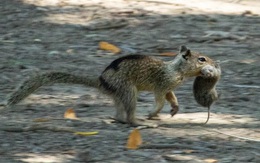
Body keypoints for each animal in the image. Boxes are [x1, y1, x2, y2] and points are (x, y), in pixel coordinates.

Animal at [5, 45, 219, 126]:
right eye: (201, 59)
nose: (216, 64)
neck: (176, 69)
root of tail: (101, 81)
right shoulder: (162, 84)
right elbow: (159, 100)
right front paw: (153, 113)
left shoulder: (169, 87)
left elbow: (171, 97)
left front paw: (174, 109)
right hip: (128, 91)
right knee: (130, 113)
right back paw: (138, 122)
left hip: (119, 94)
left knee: (119, 113)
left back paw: (118, 119)